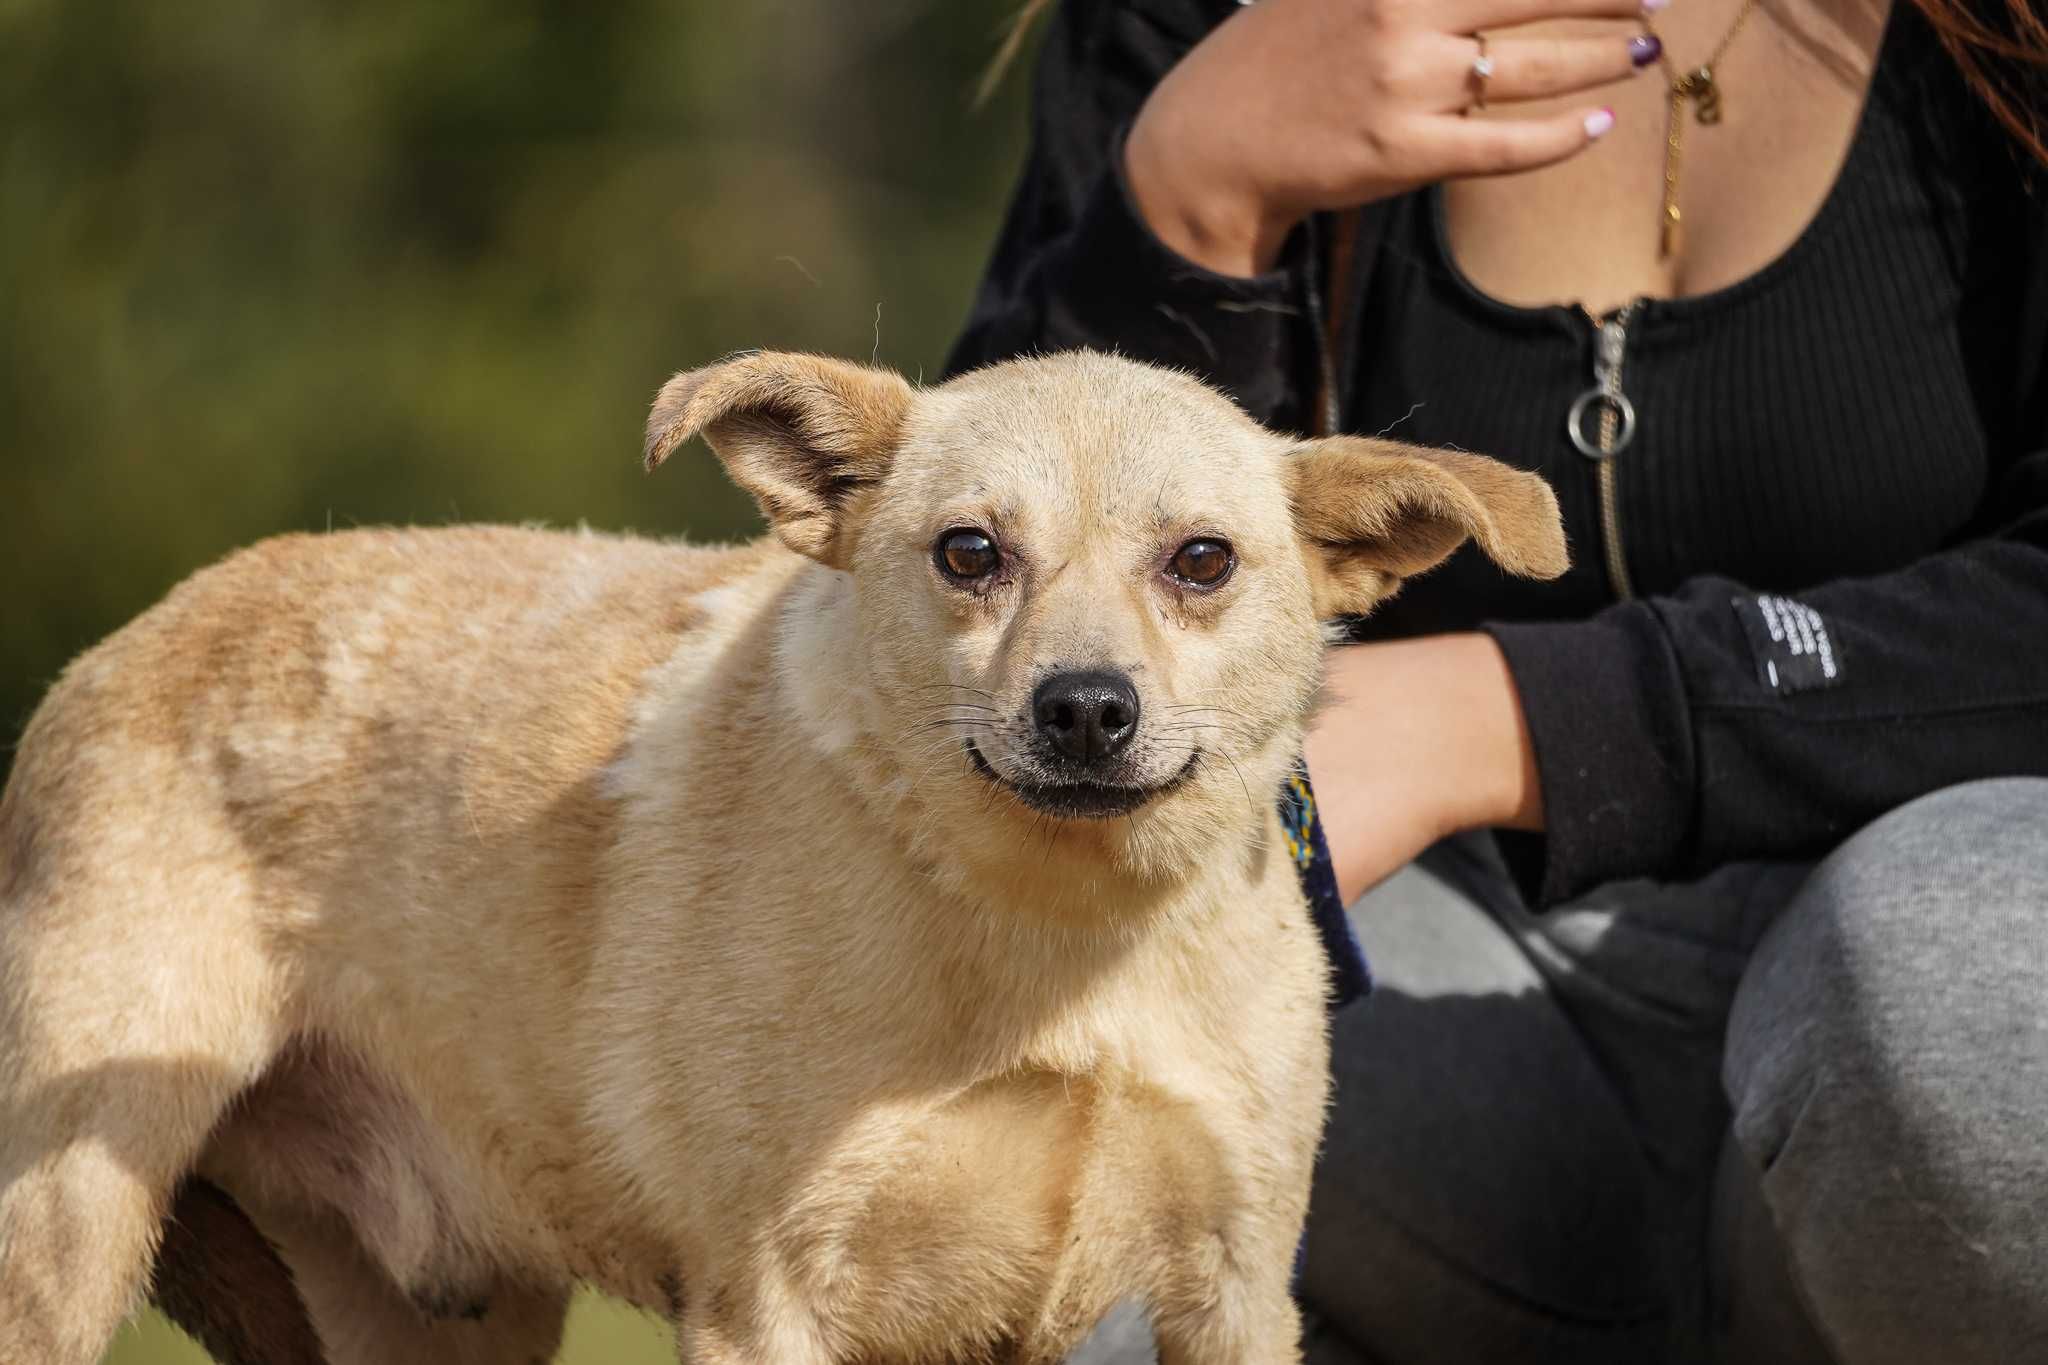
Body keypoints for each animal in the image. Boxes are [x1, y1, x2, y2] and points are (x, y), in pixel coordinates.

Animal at [4, 347, 1564, 1358]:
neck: (1058, 940)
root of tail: (119, 646)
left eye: (1202, 561)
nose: (1083, 708)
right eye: (969, 553)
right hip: (63, 1243)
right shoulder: (769, 1297)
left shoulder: (1231, 1292)